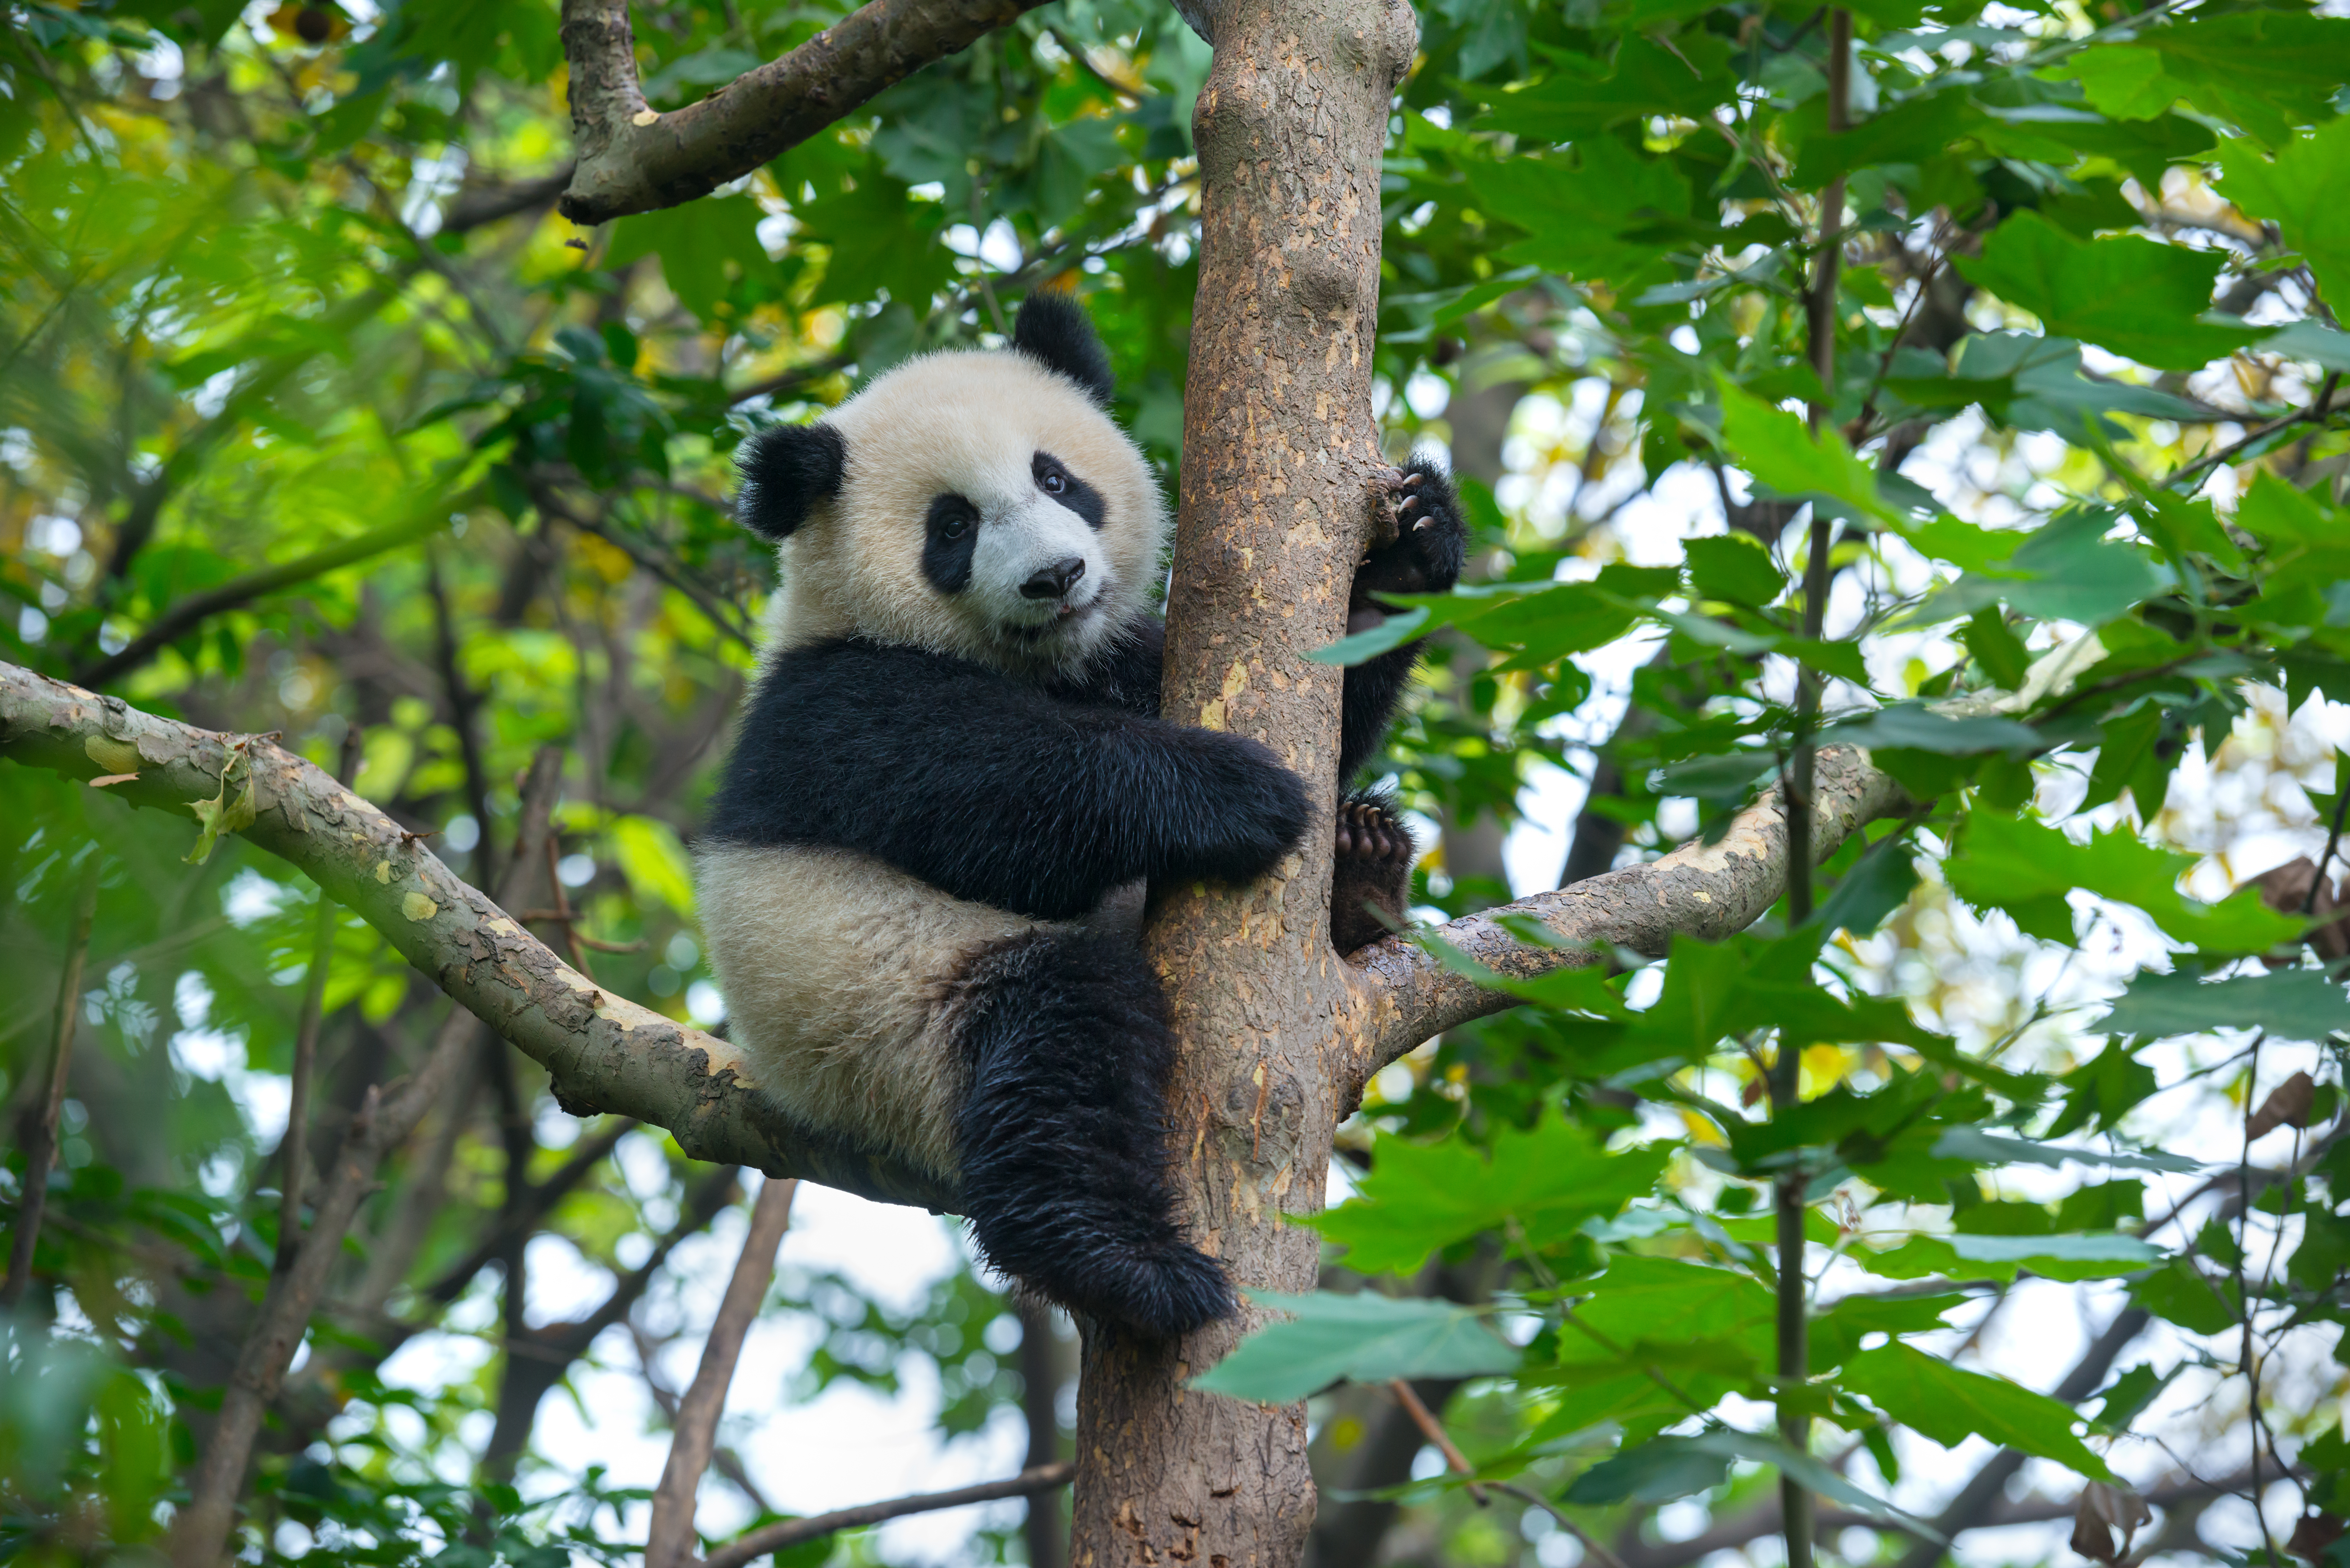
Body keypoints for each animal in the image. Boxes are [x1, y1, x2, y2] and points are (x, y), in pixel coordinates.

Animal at [695, 294, 1457, 1335]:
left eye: (1055, 477)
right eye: (952, 526)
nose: (1054, 576)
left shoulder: (1119, 658)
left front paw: (1414, 543)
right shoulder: (835, 706)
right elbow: (995, 796)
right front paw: (1236, 792)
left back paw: (1363, 866)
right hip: (887, 1018)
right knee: (1056, 1043)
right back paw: (1124, 1263)